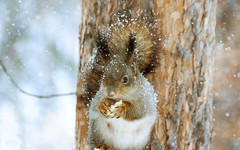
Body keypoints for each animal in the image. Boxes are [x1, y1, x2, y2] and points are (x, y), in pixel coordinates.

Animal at [86, 21, 159, 150]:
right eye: (103, 77)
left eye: (125, 79)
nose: (110, 93)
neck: (121, 97)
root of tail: (118, 147)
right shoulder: (99, 95)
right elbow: (95, 104)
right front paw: (103, 104)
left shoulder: (145, 100)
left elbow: (138, 111)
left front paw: (122, 108)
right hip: (97, 128)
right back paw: (103, 146)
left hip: (138, 139)